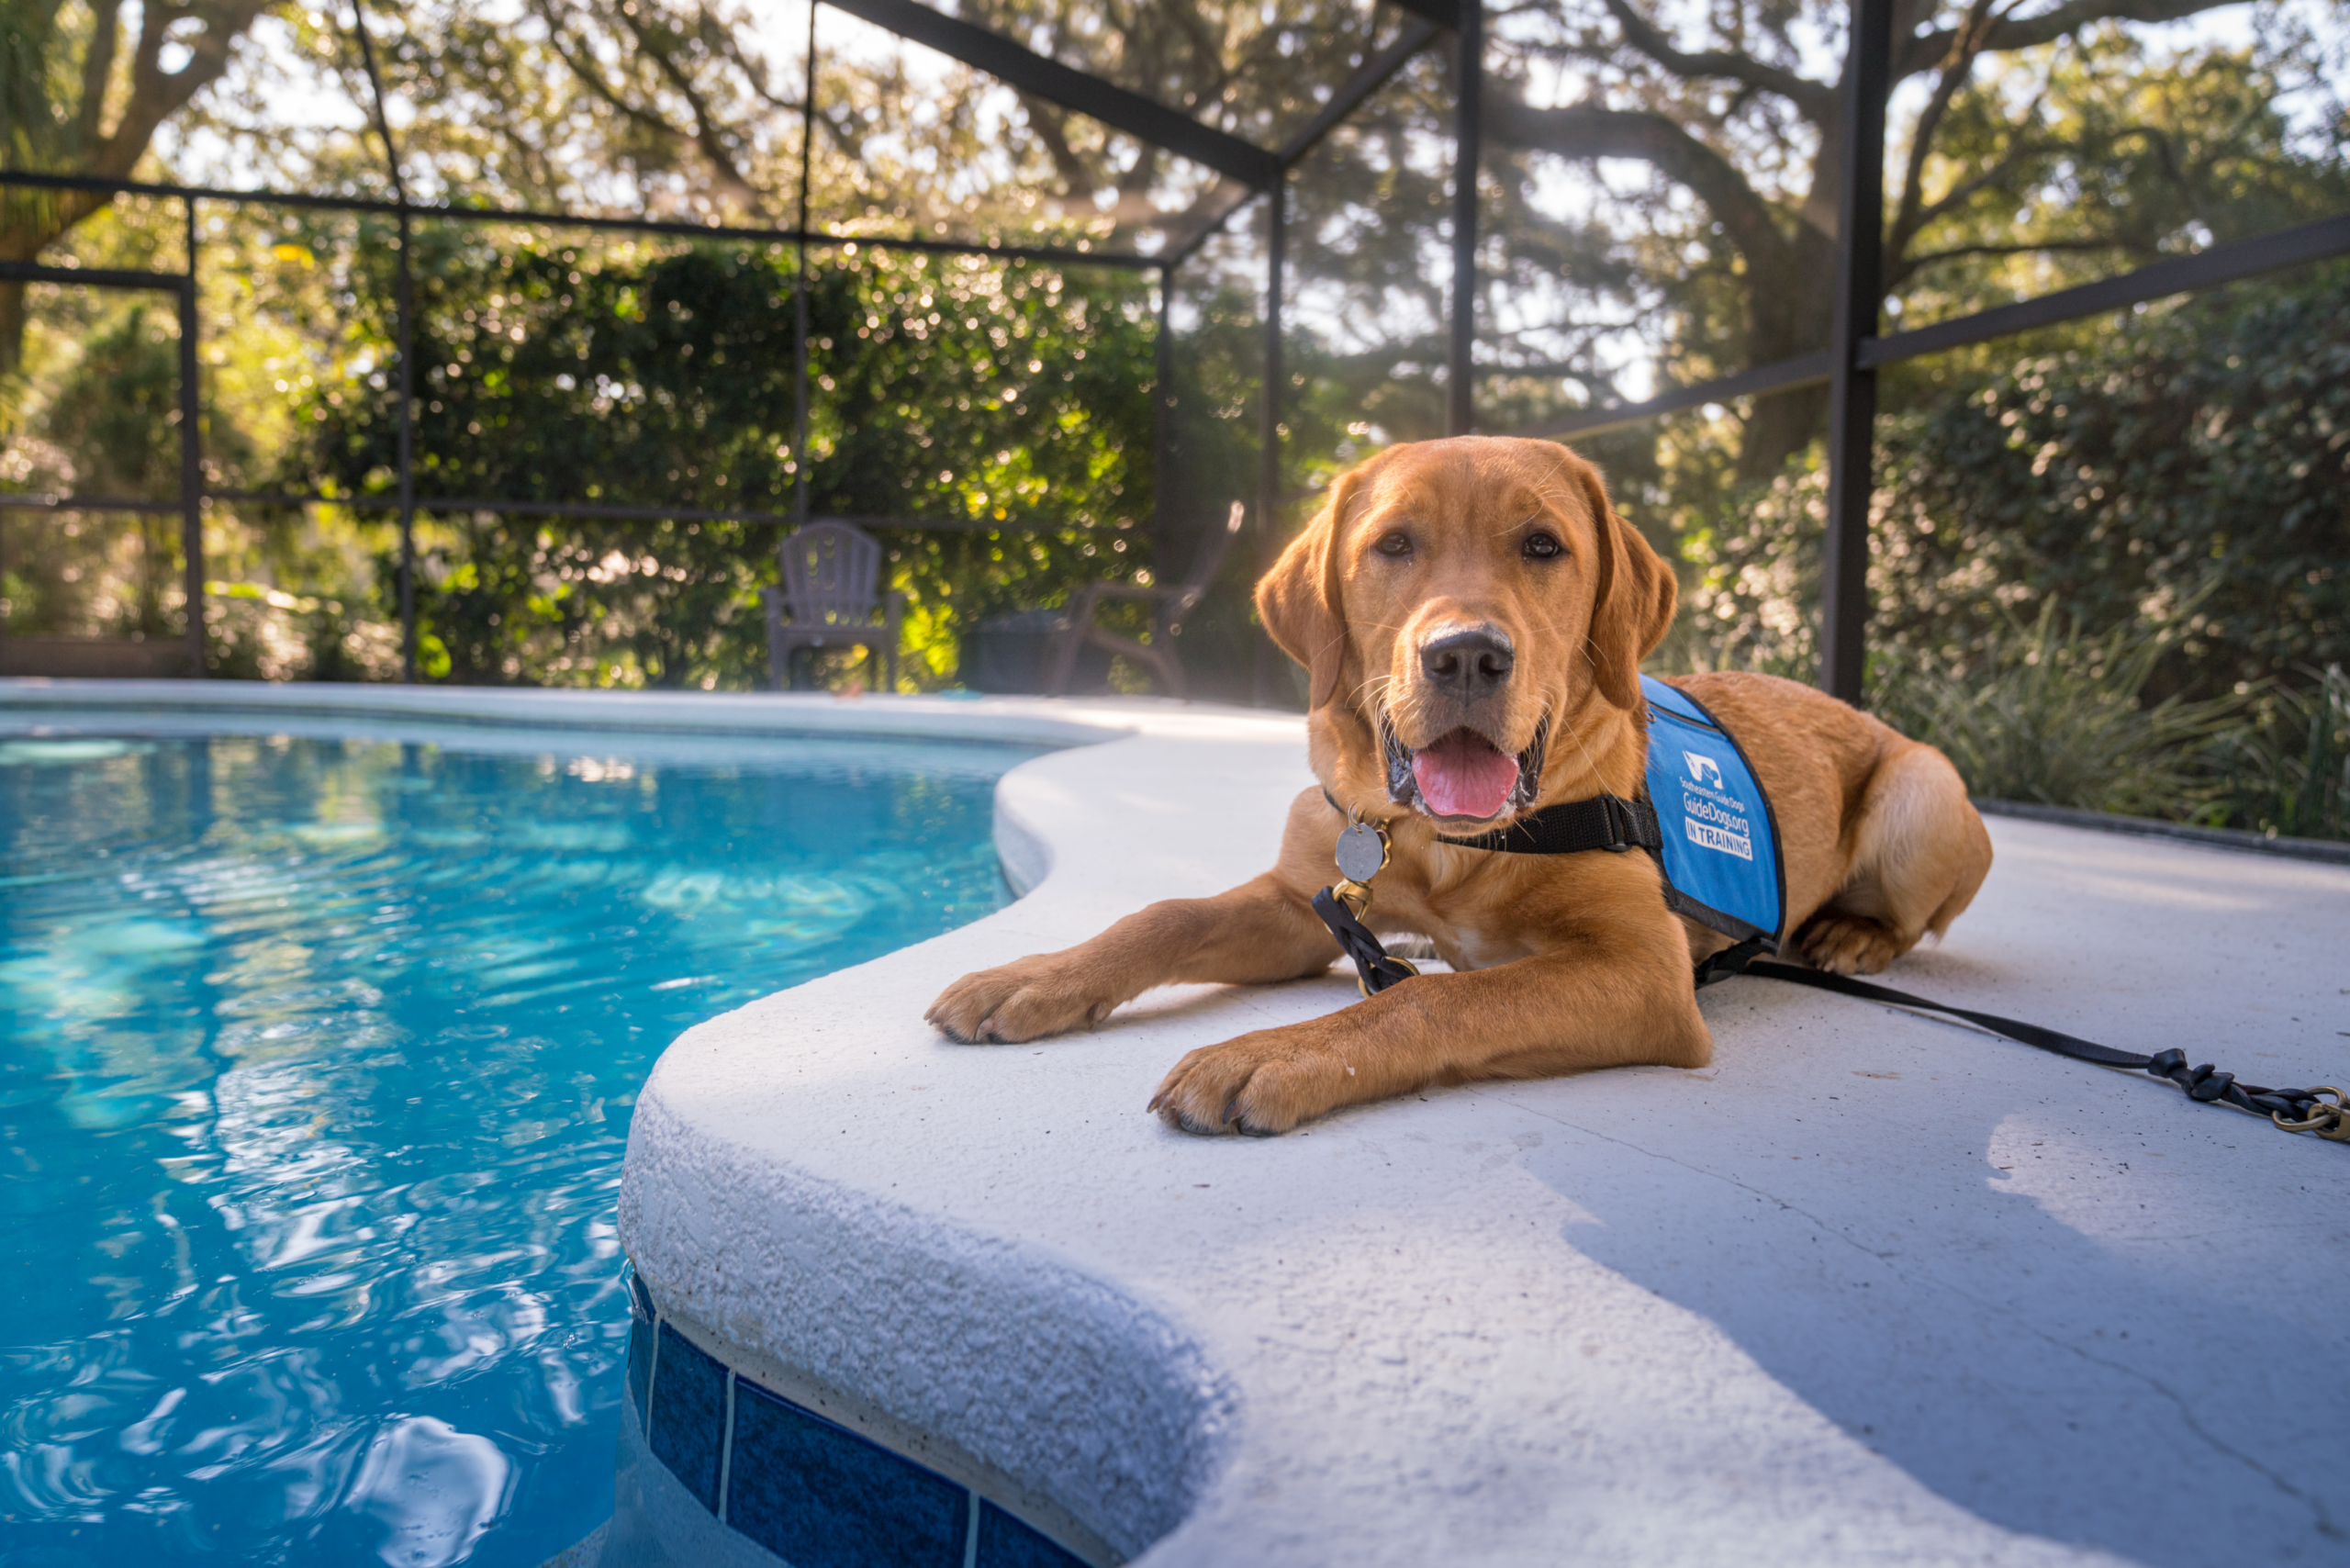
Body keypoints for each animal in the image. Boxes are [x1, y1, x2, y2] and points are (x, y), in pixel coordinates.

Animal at [925, 434, 1992, 1133]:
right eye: (1393, 544)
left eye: (1543, 545)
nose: (1467, 655)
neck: (1441, 843)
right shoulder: (1306, 896)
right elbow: (1162, 915)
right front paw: (1032, 976)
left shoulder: (1644, 970)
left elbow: (1426, 1001)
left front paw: (1275, 1050)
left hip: (1926, 789)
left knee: (1912, 907)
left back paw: (1850, 933)